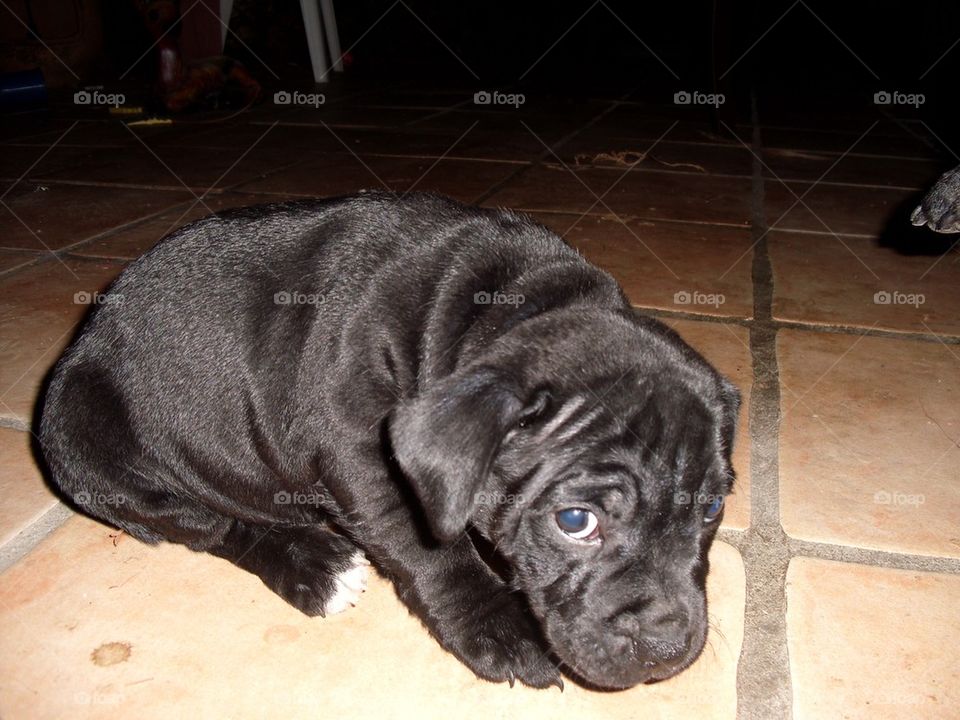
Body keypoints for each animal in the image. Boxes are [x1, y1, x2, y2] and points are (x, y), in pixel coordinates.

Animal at [41, 193, 740, 692]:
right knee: (211, 525)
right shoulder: (359, 447)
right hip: (83, 447)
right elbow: (430, 549)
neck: (510, 306)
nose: (666, 646)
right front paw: (497, 624)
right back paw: (313, 565)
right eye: (576, 521)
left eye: (711, 509)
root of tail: (90, 327)